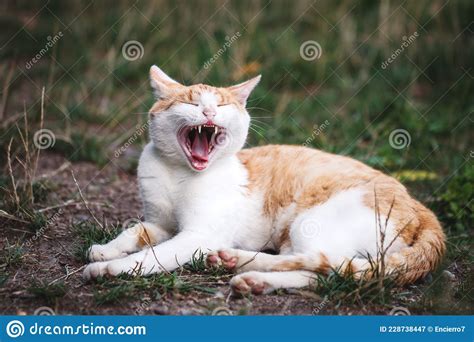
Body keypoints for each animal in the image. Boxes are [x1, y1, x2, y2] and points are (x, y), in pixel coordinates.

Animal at [83, 65, 446, 296]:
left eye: (222, 104)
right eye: (190, 101)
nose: (209, 113)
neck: (179, 172)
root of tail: (421, 208)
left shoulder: (198, 235)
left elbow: (150, 257)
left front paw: (112, 269)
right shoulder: (160, 224)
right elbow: (134, 232)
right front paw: (105, 251)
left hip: (308, 224)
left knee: (323, 264)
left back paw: (240, 263)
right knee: (326, 275)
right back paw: (251, 276)